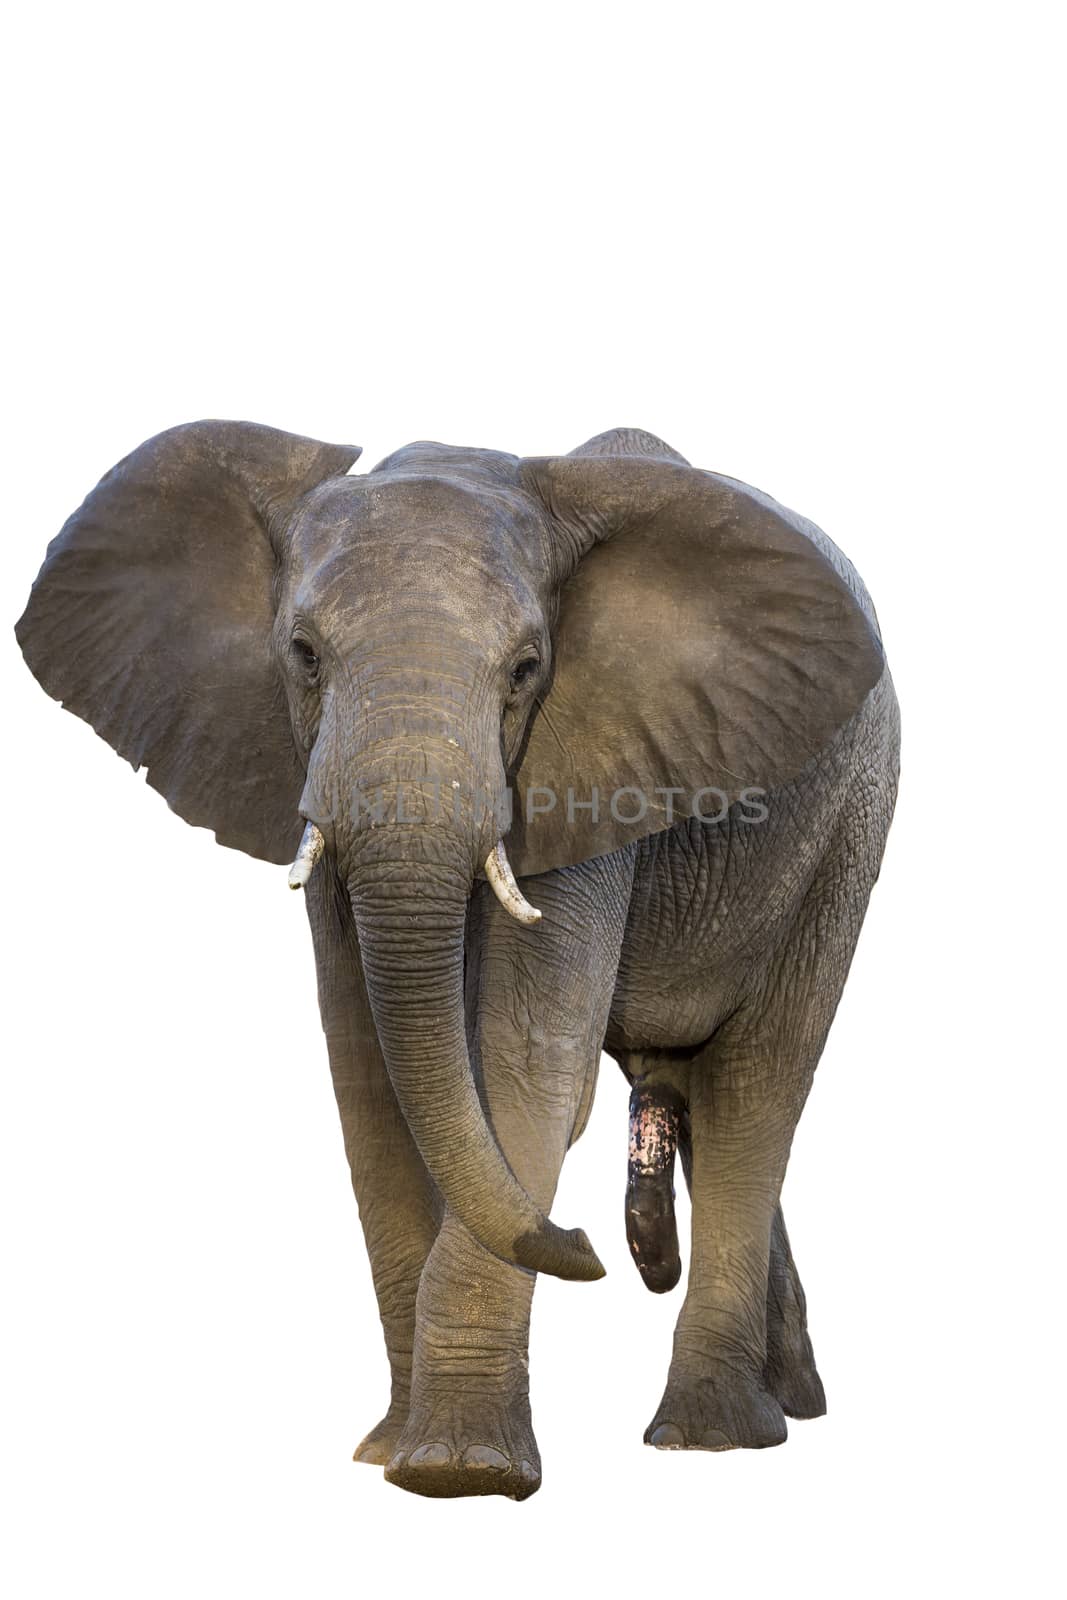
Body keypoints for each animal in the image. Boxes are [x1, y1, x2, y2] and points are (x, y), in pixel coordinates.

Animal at [16, 422, 902, 1497]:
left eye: (525, 669)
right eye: (302, 657)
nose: (586, 1248)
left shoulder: (585, 772)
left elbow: (524, 1062)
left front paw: (460, 1473)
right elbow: (368, 1073)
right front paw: (392, 1454)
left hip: (849, 826)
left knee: (758, 1081)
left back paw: (709, 1437)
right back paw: (788, 1405)